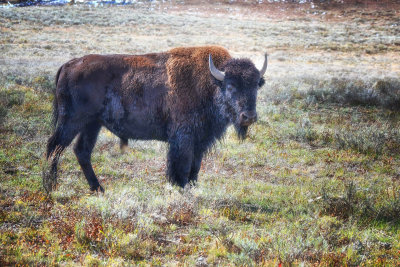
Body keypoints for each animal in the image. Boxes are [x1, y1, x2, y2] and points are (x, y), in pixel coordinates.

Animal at [45, 46, 268, 193]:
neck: (211, 83)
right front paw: (180, 187)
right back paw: (51, 186)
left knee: (81, 151)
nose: (248, 117)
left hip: (92, 125)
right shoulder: (183, 139)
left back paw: (98, 188)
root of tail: (68, 65)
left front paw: (191, 188)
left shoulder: (200, 141)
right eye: (231, 86)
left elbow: (195, 168)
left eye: (256, 85)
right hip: (72, 121)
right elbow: (182, 167)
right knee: (54, 146)